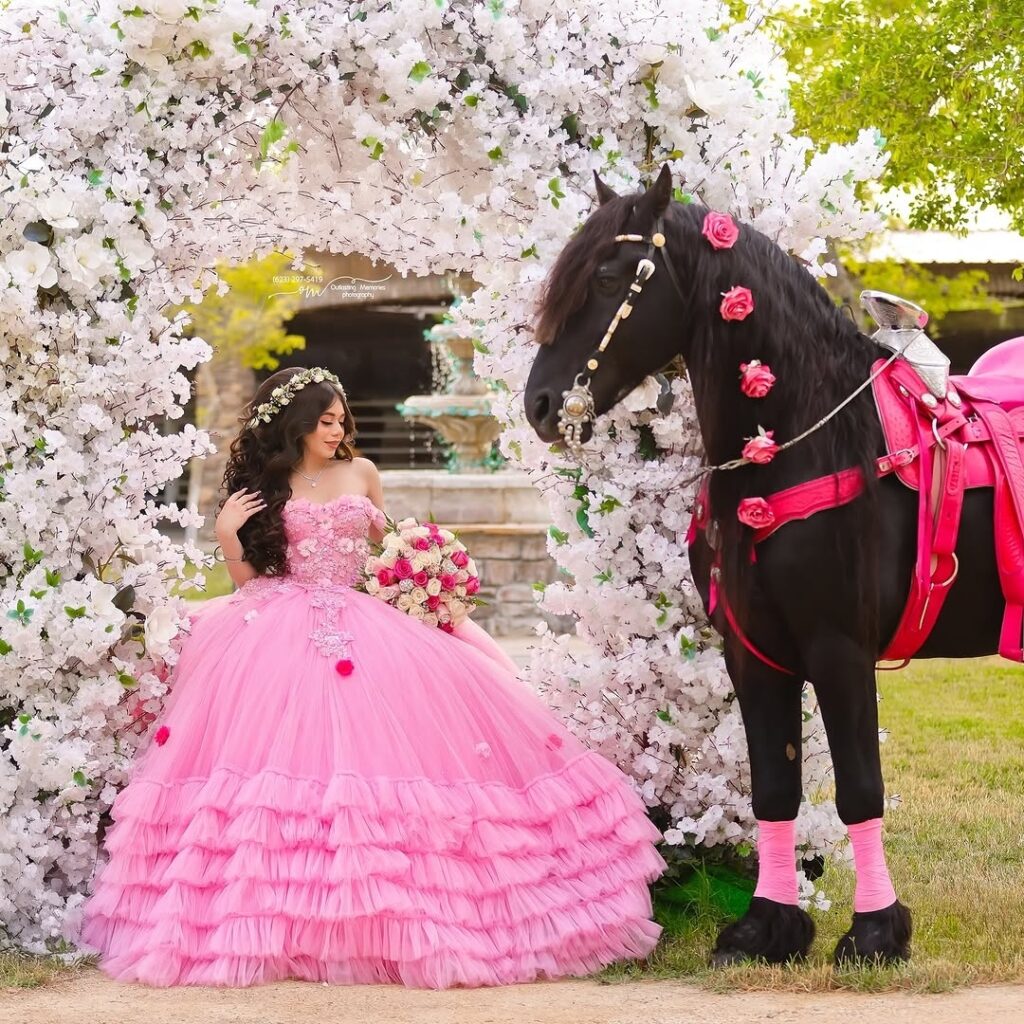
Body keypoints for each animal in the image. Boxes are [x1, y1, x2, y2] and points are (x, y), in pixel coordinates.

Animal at [524, 167, 1003, 966]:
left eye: (609, 277)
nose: (540, 403)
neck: (812, 439)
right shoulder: (754, 653)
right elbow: (774, 789)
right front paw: (765, 927)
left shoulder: (839, 649)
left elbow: (859, 789)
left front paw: (876, 933)